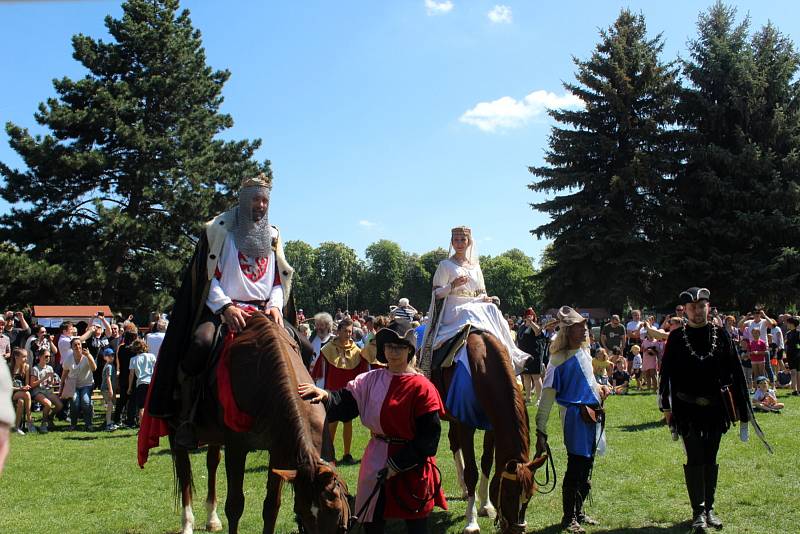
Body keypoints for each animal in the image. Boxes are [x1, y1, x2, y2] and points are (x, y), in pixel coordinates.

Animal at [172, 314, 350, 534]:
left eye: (336, 510)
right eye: (302, 513)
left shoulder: (279, 451)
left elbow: (272, 505)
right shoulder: (236, 448)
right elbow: (234, 505)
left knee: (212, 462)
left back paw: (212, 518)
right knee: (183, 467)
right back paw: (187, 523)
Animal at [434, 332, 548, 532]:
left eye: (529, 496)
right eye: (509, 494)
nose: (515, 530)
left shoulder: (492, 427)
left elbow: (487, 462)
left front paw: (485, 506)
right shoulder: (465, 423)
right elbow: (472, 472)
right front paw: (471, 522)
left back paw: (465, 490)